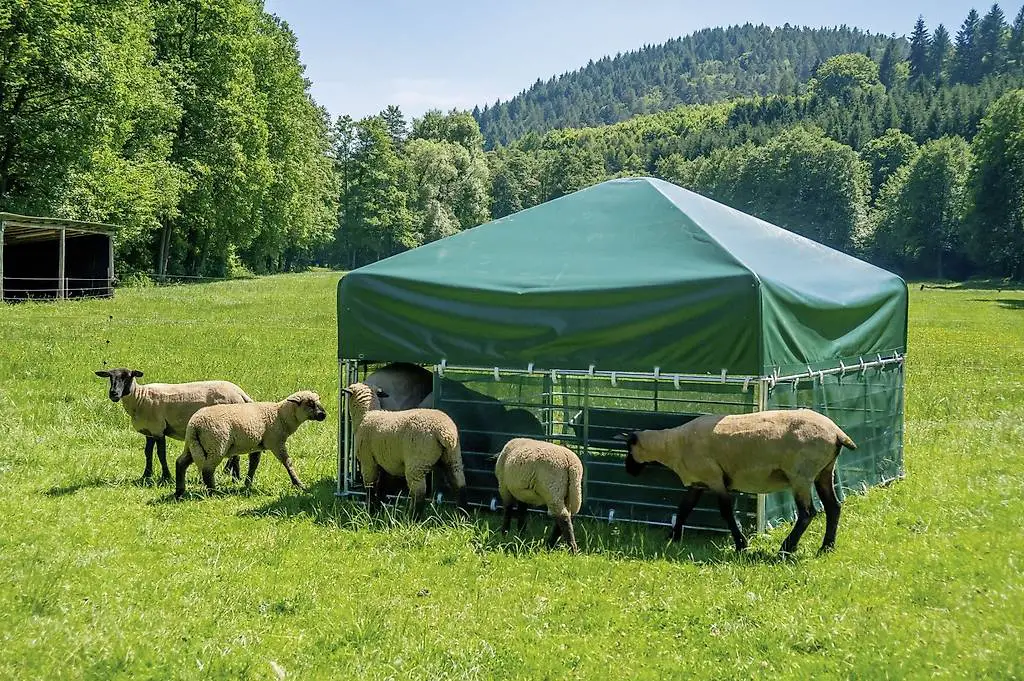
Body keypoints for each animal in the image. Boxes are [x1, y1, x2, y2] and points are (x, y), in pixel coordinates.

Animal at [95, 367, 250, 483]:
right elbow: (148, 453)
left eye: (128, 376)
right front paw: (146, 475)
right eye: (110, 377)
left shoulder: (158, 429)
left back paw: (234, 477)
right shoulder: (149, 431)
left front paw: (166, 477)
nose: (113, 394)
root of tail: (240, 393)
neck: (139, 397)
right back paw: (233, 475)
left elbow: (161, 454)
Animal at [174, 390, 326, 500]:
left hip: (192, 445)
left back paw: (179, 491)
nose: (323, 415)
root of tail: (195, 424)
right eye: (310, 403)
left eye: (317, 401)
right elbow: (287, 462)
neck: (280, 415)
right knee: (207, 470)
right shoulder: (276, 443)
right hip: (216, 446)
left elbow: (254, 464)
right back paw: (213, 492)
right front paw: (299, 484)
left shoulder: (256, 445)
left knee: (180, 463)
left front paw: (247, 485)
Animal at [342, 381, 468, 518]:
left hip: (417, 461)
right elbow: (382, 487)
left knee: (419, 493)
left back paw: (413, 518)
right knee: (459, 484)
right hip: (453, 457)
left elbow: (371, 488)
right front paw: (379, 509)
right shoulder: (385, 461)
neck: (366, 415)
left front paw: (370, 511)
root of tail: (444, 433)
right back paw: (463, 515)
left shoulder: (368, 461)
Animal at [619, 408, 857, 557]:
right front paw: (673, 537)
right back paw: (826, 547)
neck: (672, 445)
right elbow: (684, 508)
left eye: (629, 448)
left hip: (800, 475)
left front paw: (741, 544)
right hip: (824, 471)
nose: (628, 471)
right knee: (833, 507)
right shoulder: (698, 482)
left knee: (807, 513)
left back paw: (786, 549)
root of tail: (836, 433)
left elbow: (726, 512)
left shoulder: (715, 479)